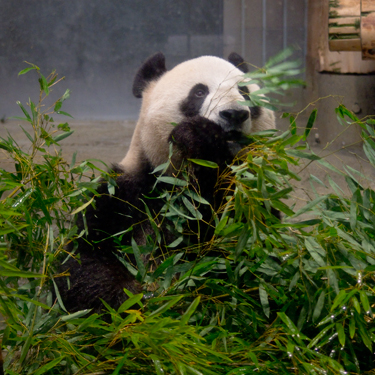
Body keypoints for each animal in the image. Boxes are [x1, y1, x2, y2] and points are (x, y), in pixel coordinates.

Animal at [57, 51, 278, 312]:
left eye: (244, 91)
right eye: (199, 92)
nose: (234, 114)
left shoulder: (253, 195)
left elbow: (245, 252)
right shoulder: (126, 193)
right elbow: (83, 262)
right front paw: (130, 302)